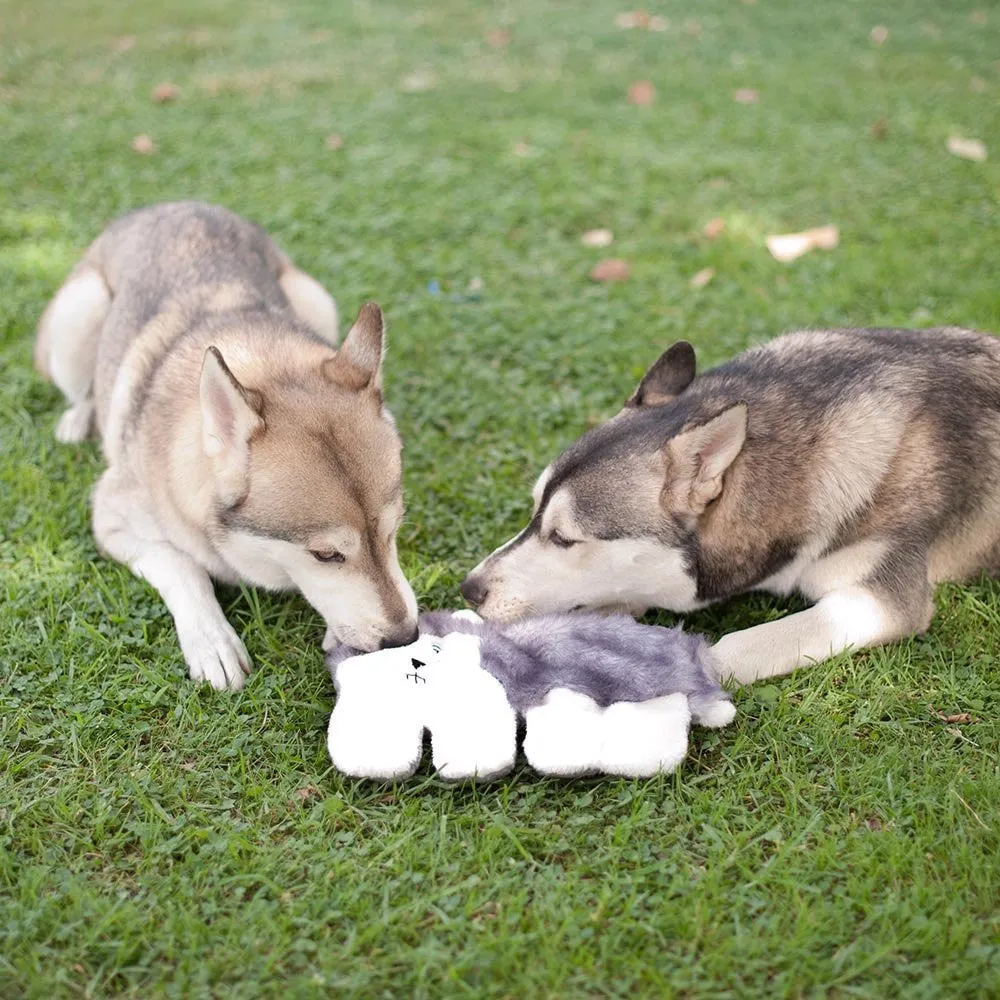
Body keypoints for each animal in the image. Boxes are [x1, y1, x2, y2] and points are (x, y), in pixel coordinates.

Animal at [35, 203, 418, 688]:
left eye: (393, 531)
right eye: (326, 555)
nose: (406, 637)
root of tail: (173, 203)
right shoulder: (111, 518)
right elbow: (182, 565)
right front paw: (212, 638)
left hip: (315, 298)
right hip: (78, 314)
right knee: (82, 389)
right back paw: (77, 420)